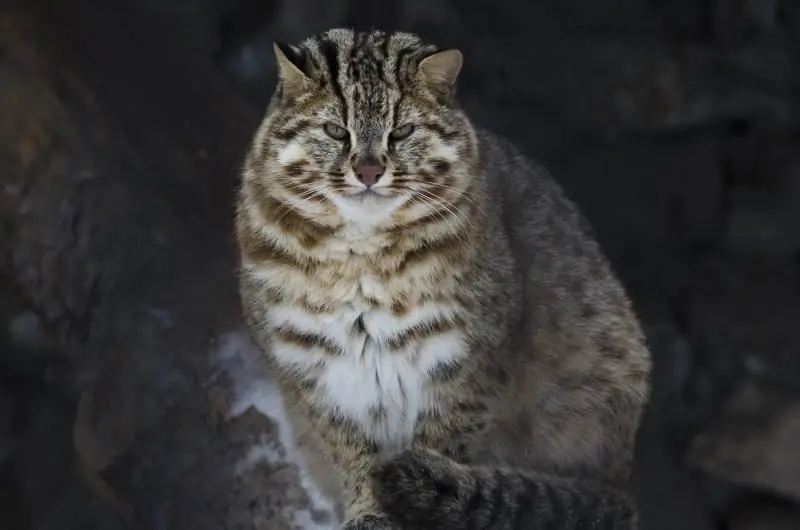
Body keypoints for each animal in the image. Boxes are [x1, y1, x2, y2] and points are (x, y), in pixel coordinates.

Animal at [233, 28, 648, 528]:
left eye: (402, 131)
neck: (359, 260)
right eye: (335, 130)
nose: (368, 171)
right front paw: (369, 509)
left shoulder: (464, 360)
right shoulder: (313, 367)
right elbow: (351, 451)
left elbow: (442, 441)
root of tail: (623, 481)